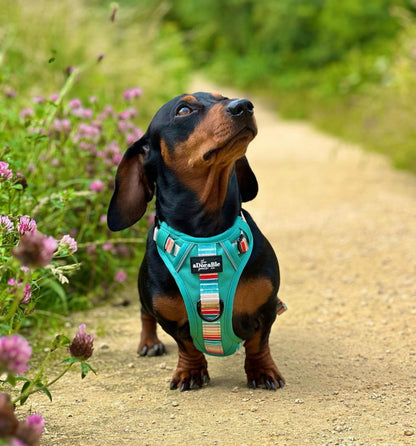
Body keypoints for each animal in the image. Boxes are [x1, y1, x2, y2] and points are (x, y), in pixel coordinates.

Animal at [106, 92, 286, 392]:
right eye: (184, 110)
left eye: (224, 97)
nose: (244, 105)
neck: (206, 238)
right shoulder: (171, 319)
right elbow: (187, 346)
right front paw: (189, 372)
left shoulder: (267, 306)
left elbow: (258, 343)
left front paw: (262, 371)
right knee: (145, 314)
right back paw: (149, 343)